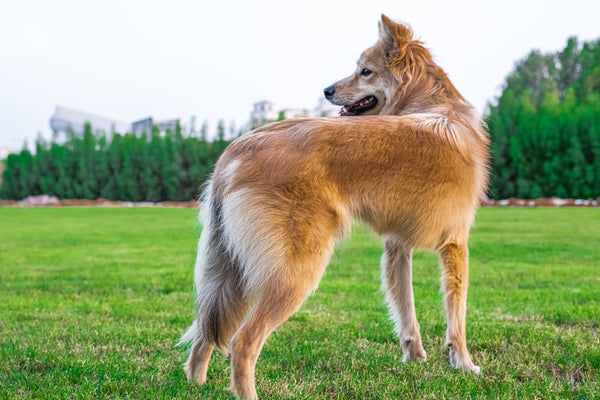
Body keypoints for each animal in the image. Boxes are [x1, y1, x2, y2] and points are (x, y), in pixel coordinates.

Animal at [180, 14, 490, 398]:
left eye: (365, 72)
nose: (327, 90)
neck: (435, 105)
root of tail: (238, 148)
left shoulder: (397, 247)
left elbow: (406, 309)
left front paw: (415, 357)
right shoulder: (455, 243)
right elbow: (457, 315)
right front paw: (463, 363)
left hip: (230, 272)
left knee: (205, 333)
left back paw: (195, 384)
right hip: (295, 271)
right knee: (243, 342)